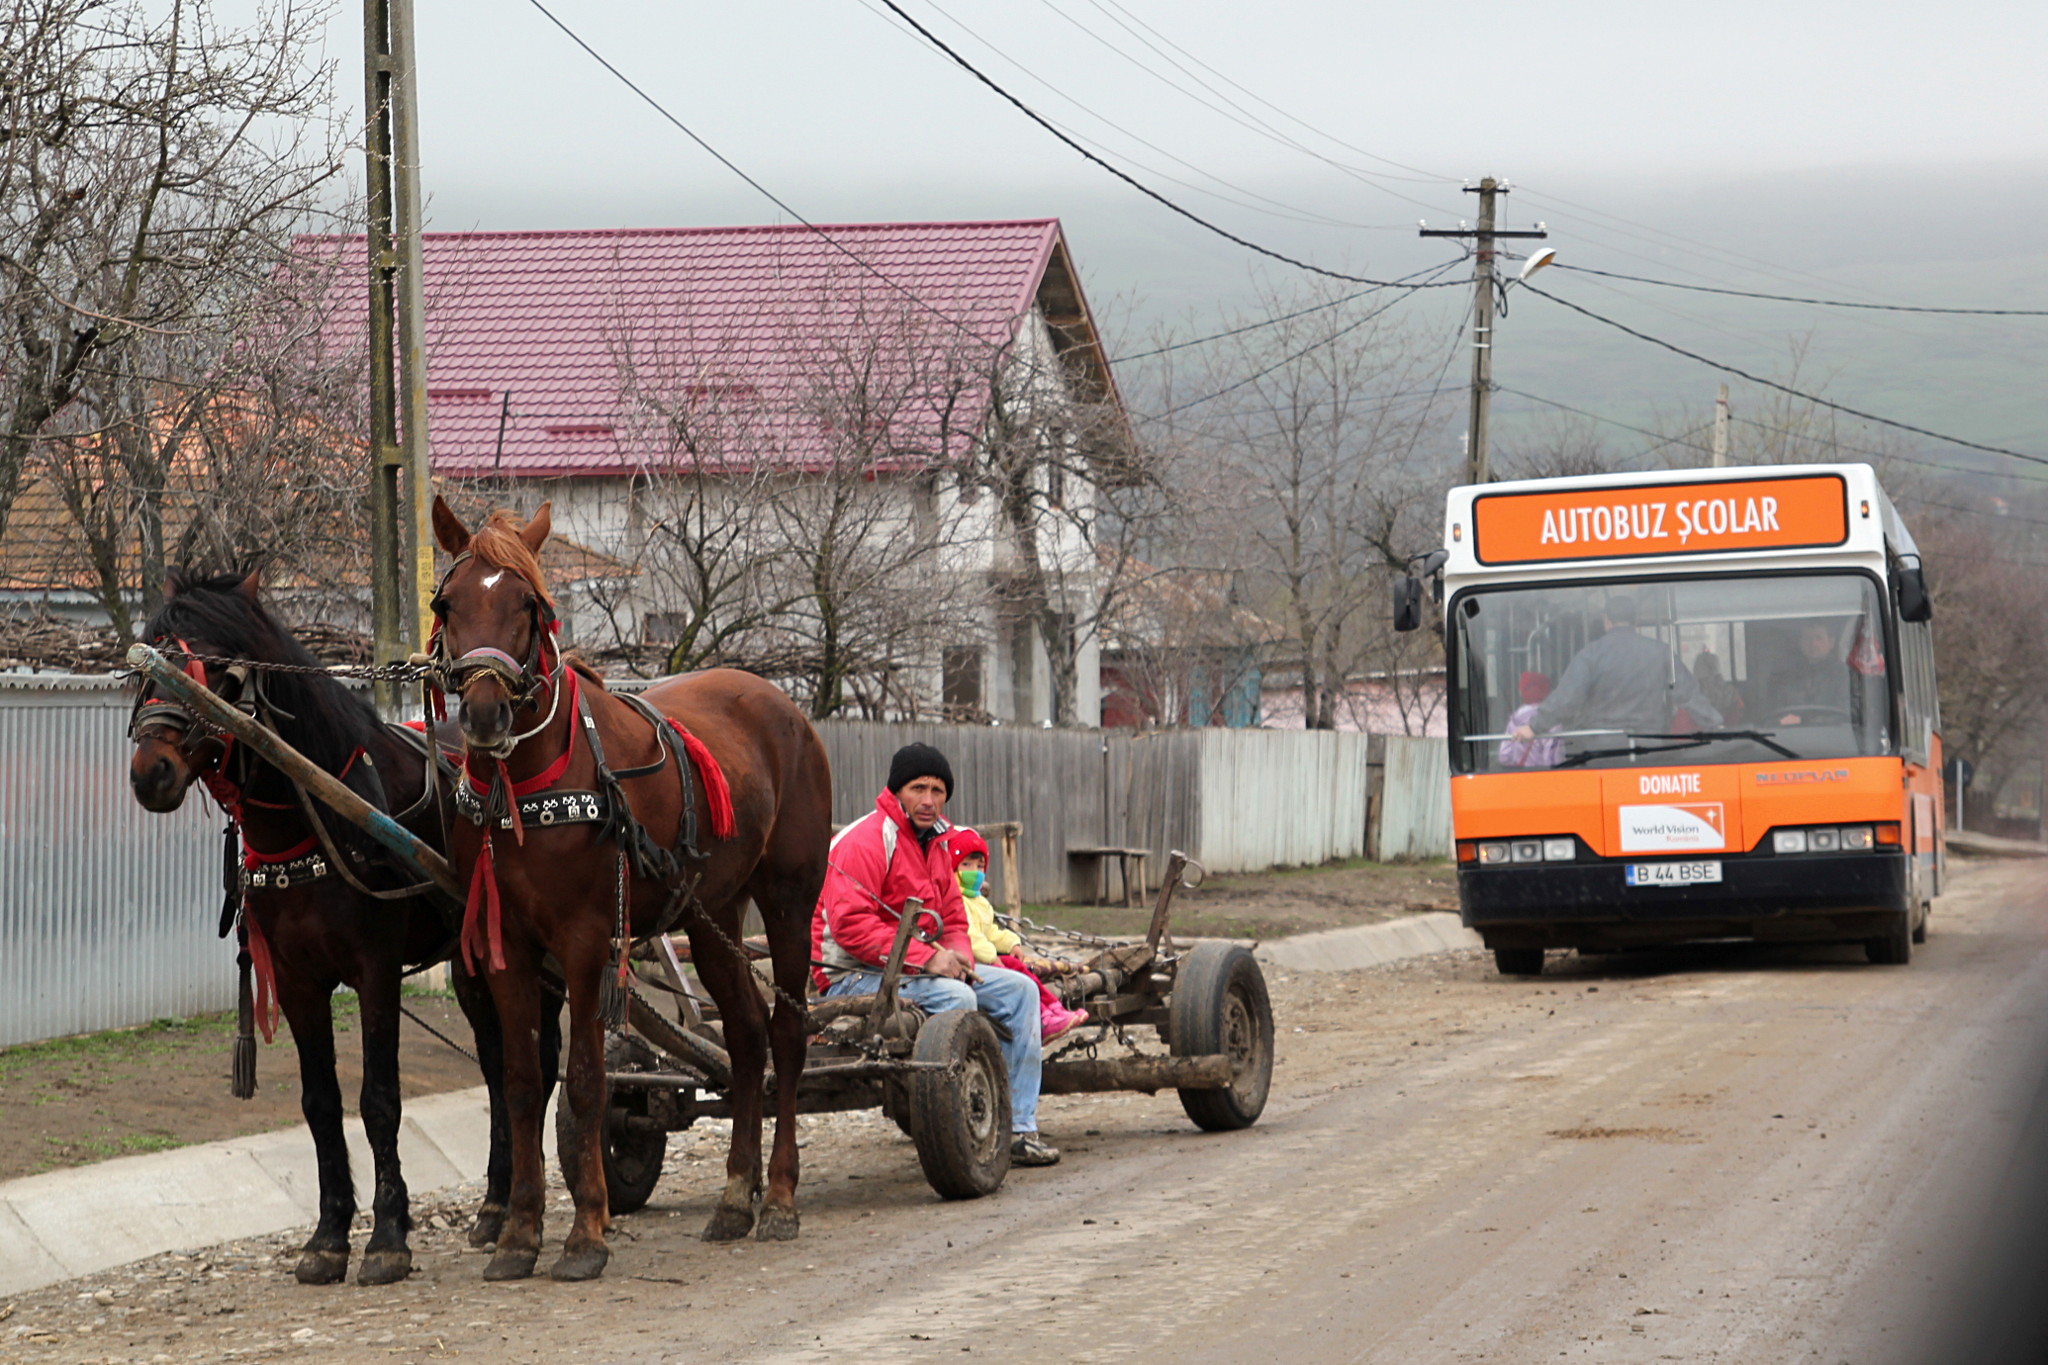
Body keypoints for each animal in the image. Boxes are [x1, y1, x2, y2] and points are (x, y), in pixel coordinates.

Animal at [128, 573, 561, 1285]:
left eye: (218, 668)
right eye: (145, 667)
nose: (150, 773)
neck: (318, 813)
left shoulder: (375, 971)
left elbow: (379, 1098)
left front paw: (387, 1237)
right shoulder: (298, 980)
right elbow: (321, 1103)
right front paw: (329, 1235)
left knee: (539, 1062)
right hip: (474, 960)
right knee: (500, 1065)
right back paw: (496, 1206)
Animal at [423, 499, 831, 1285]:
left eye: (529, 605)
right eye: (447, 604)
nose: (485, 715)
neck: (528, 786)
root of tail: (780, 702)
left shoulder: (585, 941)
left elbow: (586, 1079)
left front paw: (585, 1233)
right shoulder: (508, 946)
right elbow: (523, 1081)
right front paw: (519, 1232)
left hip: (790, 900)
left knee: (788, 1032)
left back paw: (780, 1197)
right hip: (710, 913)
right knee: (746, 1035)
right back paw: (735, 1195)